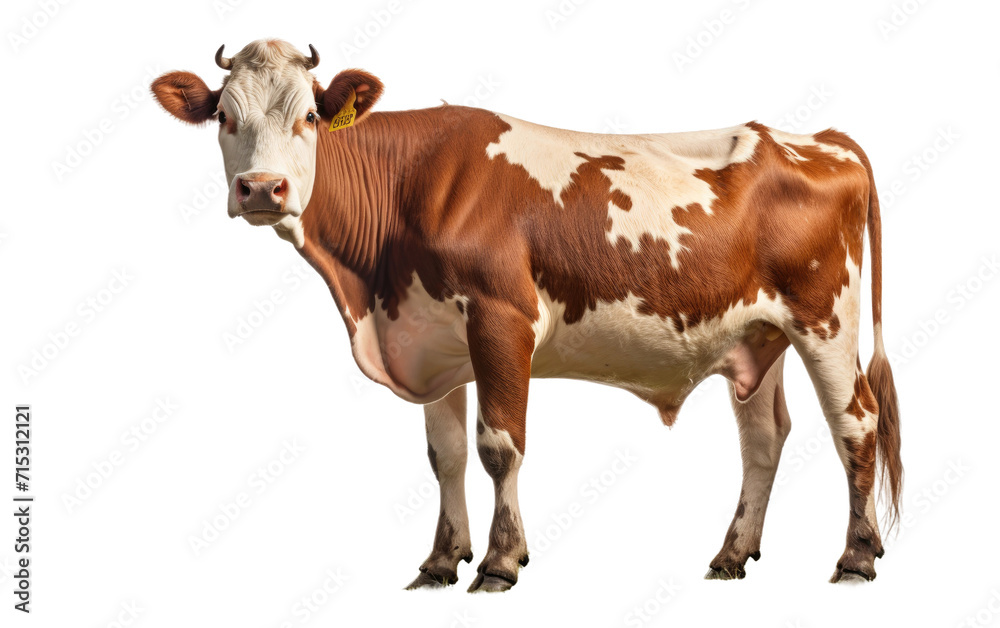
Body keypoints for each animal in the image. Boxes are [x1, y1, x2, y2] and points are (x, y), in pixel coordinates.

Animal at [152, 38, 904, 588]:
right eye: (224, 117)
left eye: (308, 116)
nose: (261, 189)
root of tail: (820, 138)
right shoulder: (431, 335)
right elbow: (446, 454)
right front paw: (440, 562)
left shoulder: (500, 320)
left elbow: (498, 446)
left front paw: (499, 562)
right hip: (760, 332)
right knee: (765, 437)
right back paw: (731, 554)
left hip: (824, 320)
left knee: (856, 423)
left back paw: (856, 556)